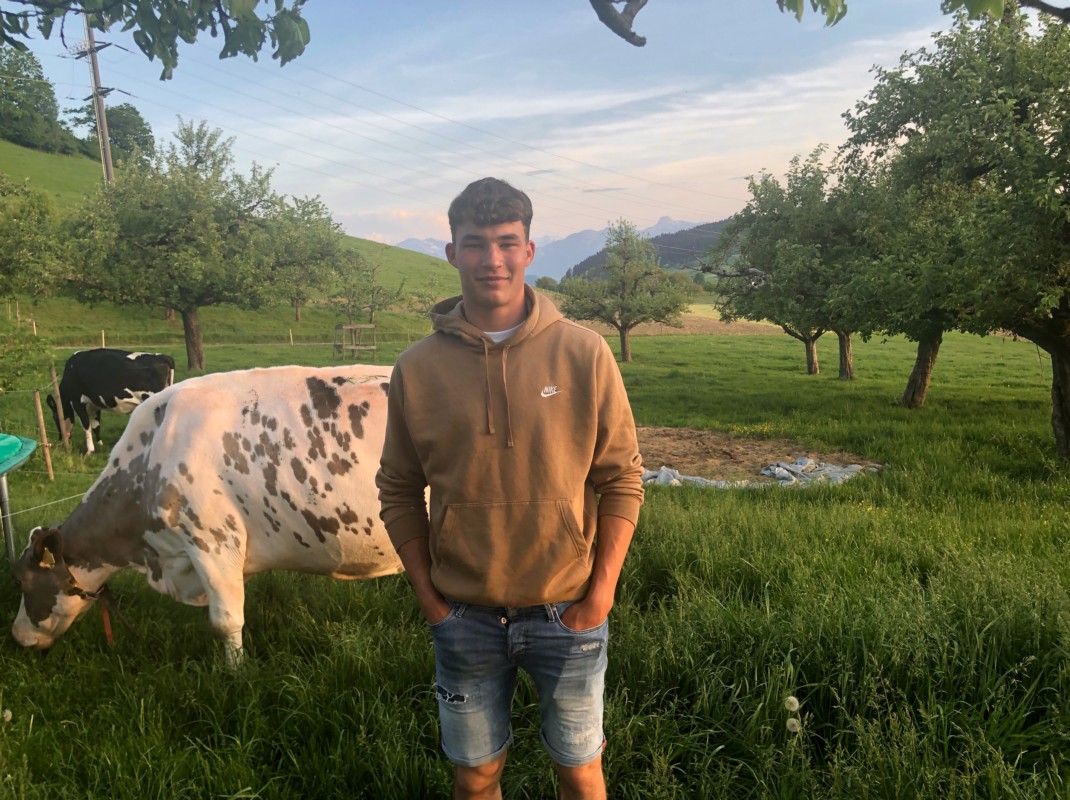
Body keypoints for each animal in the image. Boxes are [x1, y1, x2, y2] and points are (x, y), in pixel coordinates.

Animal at [46, 348, 177, 455]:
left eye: (55, 418)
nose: (60, 439)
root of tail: (163, 357)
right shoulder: (94, 403)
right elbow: (96, 424)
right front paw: (100, 444)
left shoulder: (77, 401)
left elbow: (86, 425)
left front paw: (89, 450)